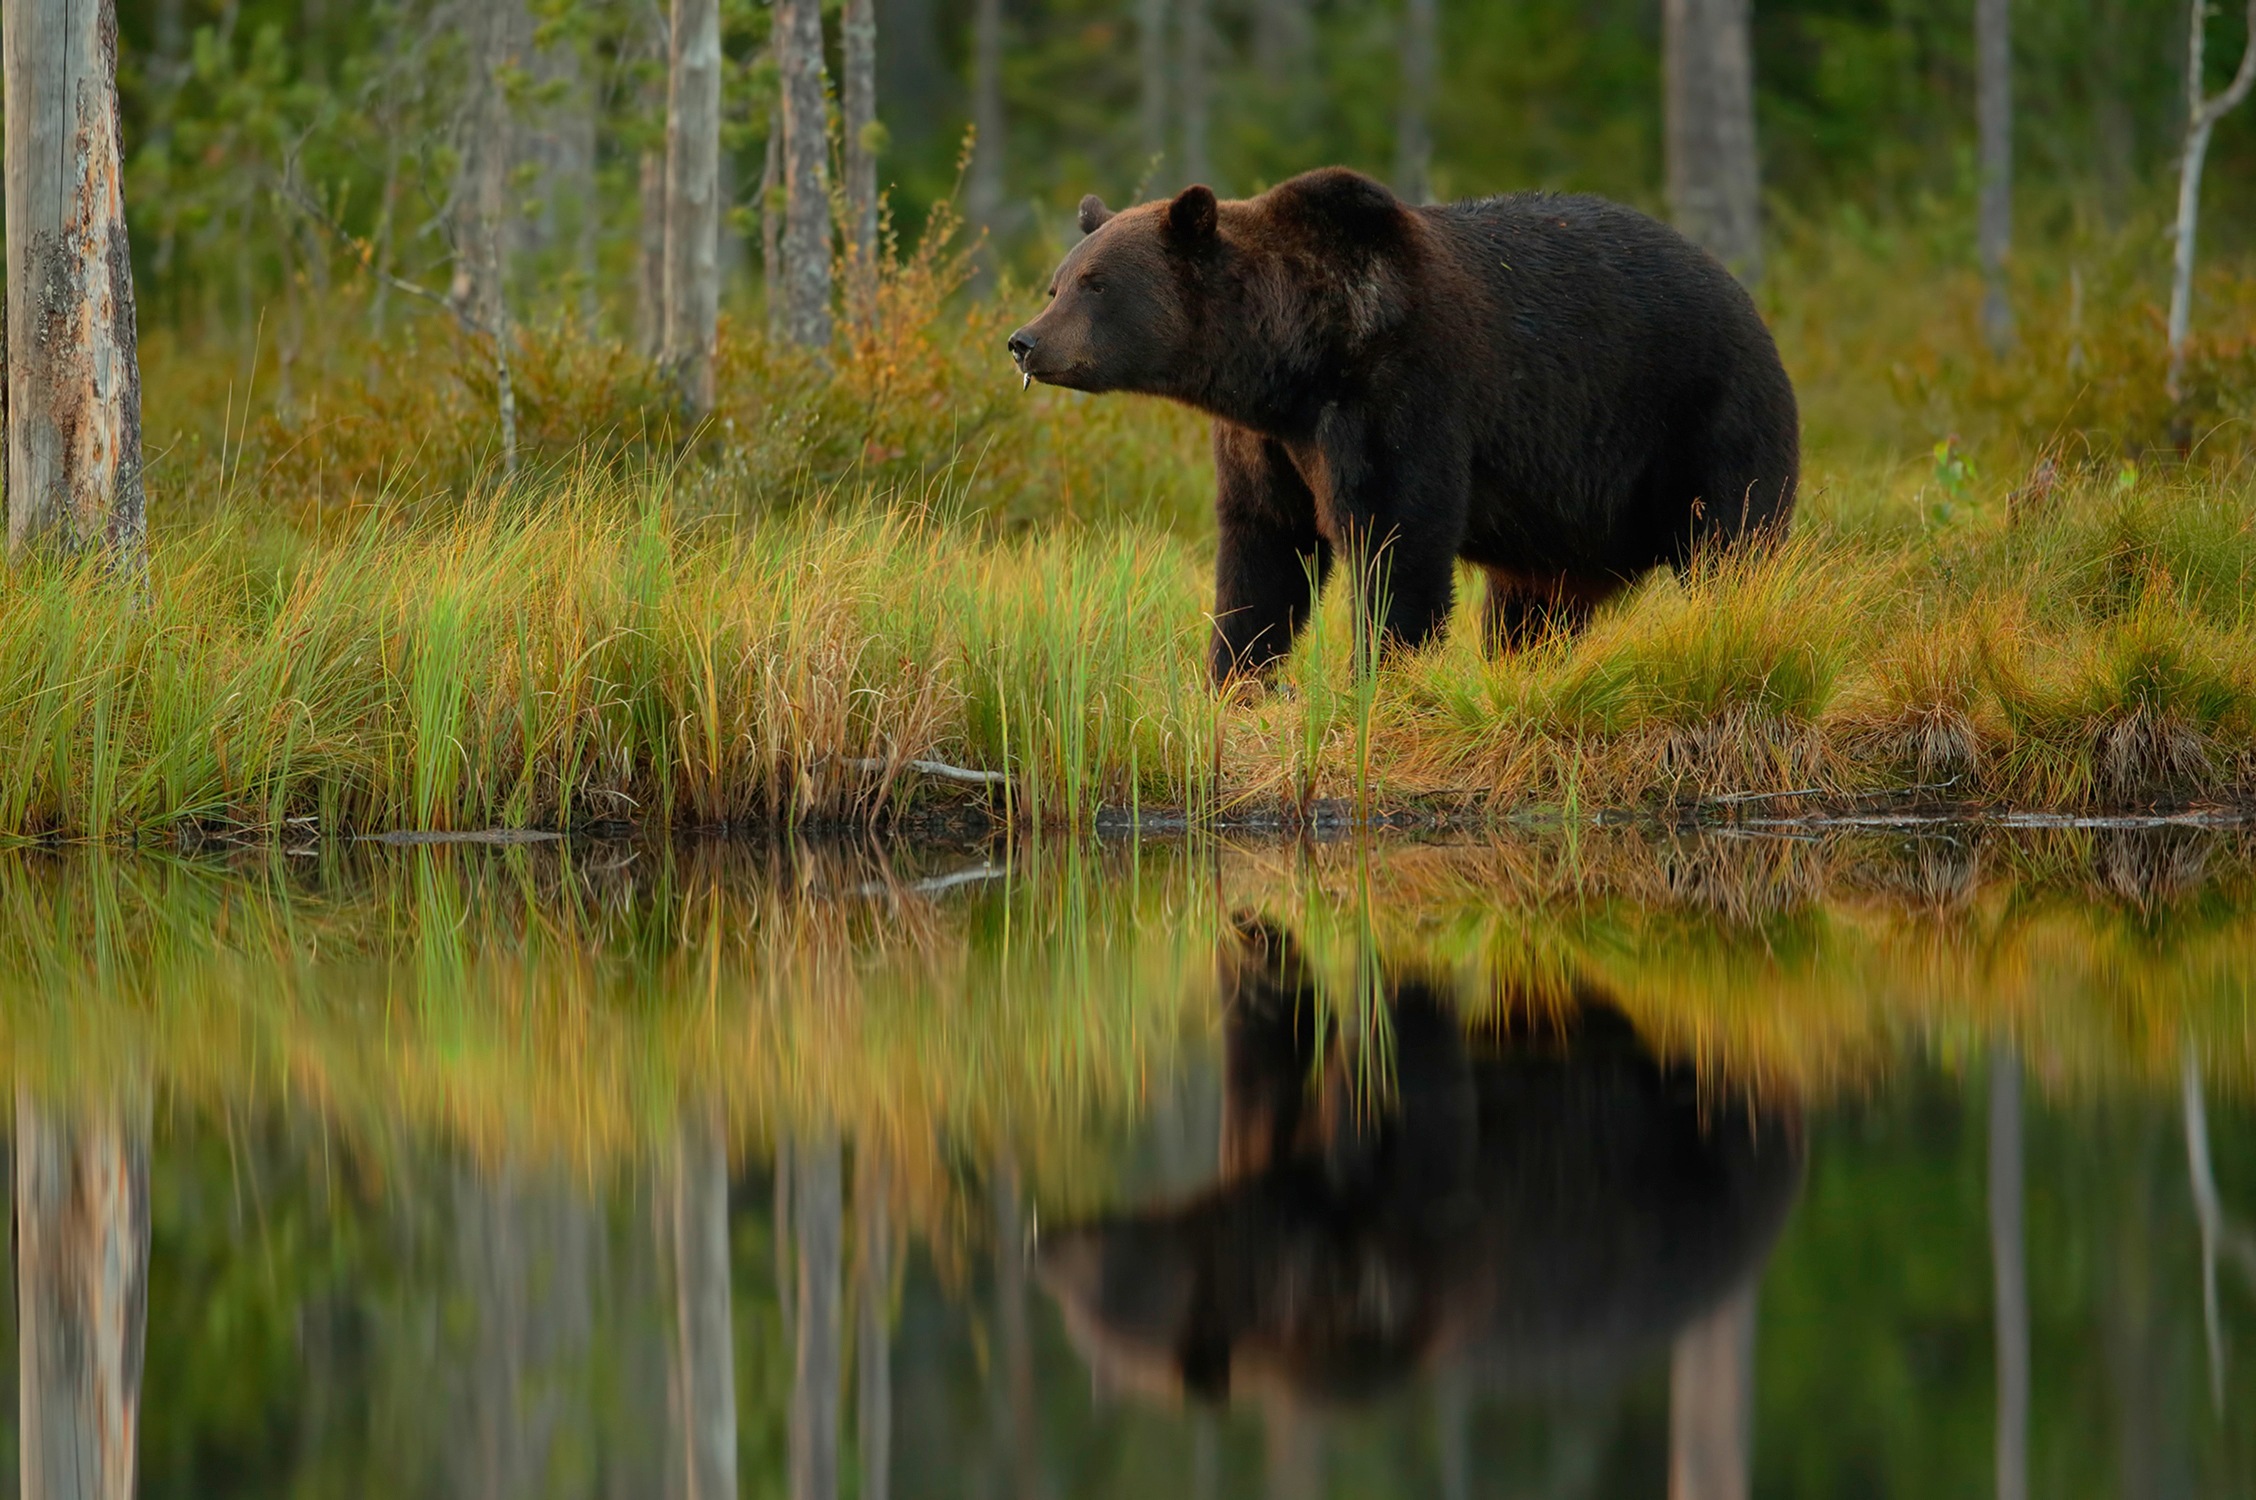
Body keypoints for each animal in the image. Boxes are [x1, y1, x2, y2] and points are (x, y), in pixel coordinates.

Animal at [1006, 168, 1801, 683]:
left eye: (1096, 284)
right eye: (1057, 283)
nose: (1024, 341)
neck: (1292, 361)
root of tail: (1749, 300)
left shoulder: (1400, 395)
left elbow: (1398, 540)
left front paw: (1381, 677)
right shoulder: (1267, 444)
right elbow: (1263, 554)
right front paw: (1235, 677)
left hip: (1704, 417)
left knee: (1733, 544)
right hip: (1563, 521)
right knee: (1531, 606)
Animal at [1035, 916, 1805, 1406]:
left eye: (1086, 1294)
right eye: (1074, 1317)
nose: (1042, 1243)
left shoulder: (1408, 1256)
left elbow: (1411, 1072)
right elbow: (1272, 1030)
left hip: (1702, 1131)